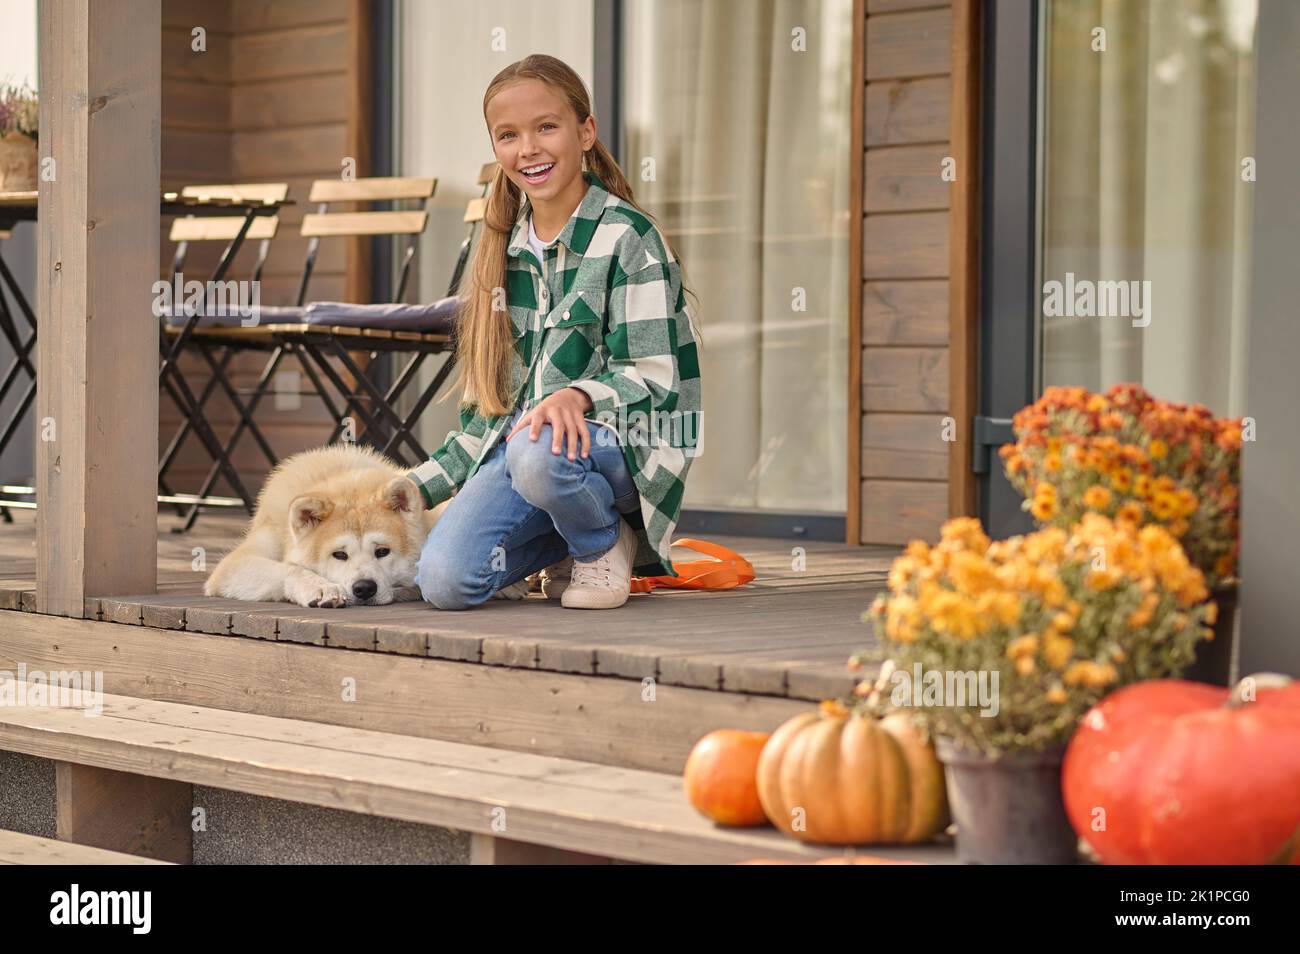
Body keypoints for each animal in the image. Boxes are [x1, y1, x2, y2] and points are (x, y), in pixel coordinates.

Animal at [202, 444, 527, 608]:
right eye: (339, 555)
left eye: (382, 551)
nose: (363, 589)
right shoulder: (236, 564)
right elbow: (289, 569)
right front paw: (321, 588)